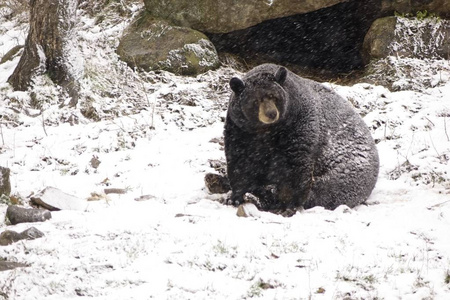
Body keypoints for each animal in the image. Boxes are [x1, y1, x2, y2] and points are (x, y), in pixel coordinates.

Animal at [225, 64, 380, 212]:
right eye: (255, 101)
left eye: (274, 97)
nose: (271, 113)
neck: (267, 130)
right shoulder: (240, 130)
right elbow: (240, 161)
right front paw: (235, 197)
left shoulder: (298, 125)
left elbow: (294, 165)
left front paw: (287, 204)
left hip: (347, 168)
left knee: (328, 189)